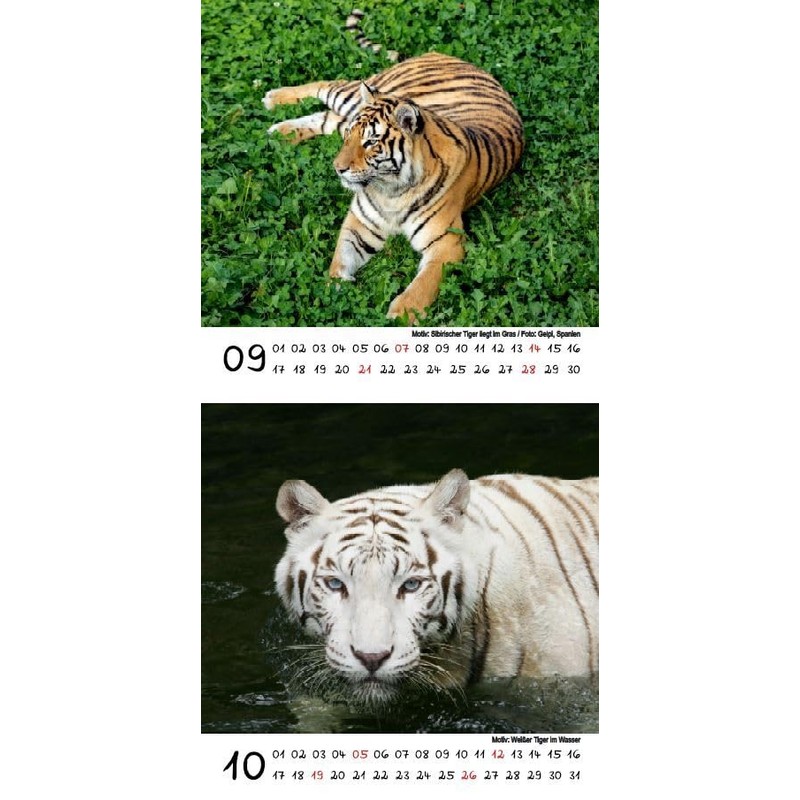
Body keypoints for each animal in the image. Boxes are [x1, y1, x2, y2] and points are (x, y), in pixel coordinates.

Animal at [262, 15, 524, 321]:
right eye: (351, 137)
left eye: (371, 142)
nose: (337, 169)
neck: (392, 190)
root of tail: (446, 55)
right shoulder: (359, 223)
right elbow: (340, 259)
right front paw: (333, 288)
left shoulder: (446, 243)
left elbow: (424, 284)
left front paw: (399, 315)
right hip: (355, 95)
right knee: (326, 85)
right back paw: (273, 99)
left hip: (348, 108)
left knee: (326, 116)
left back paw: (281, 131)